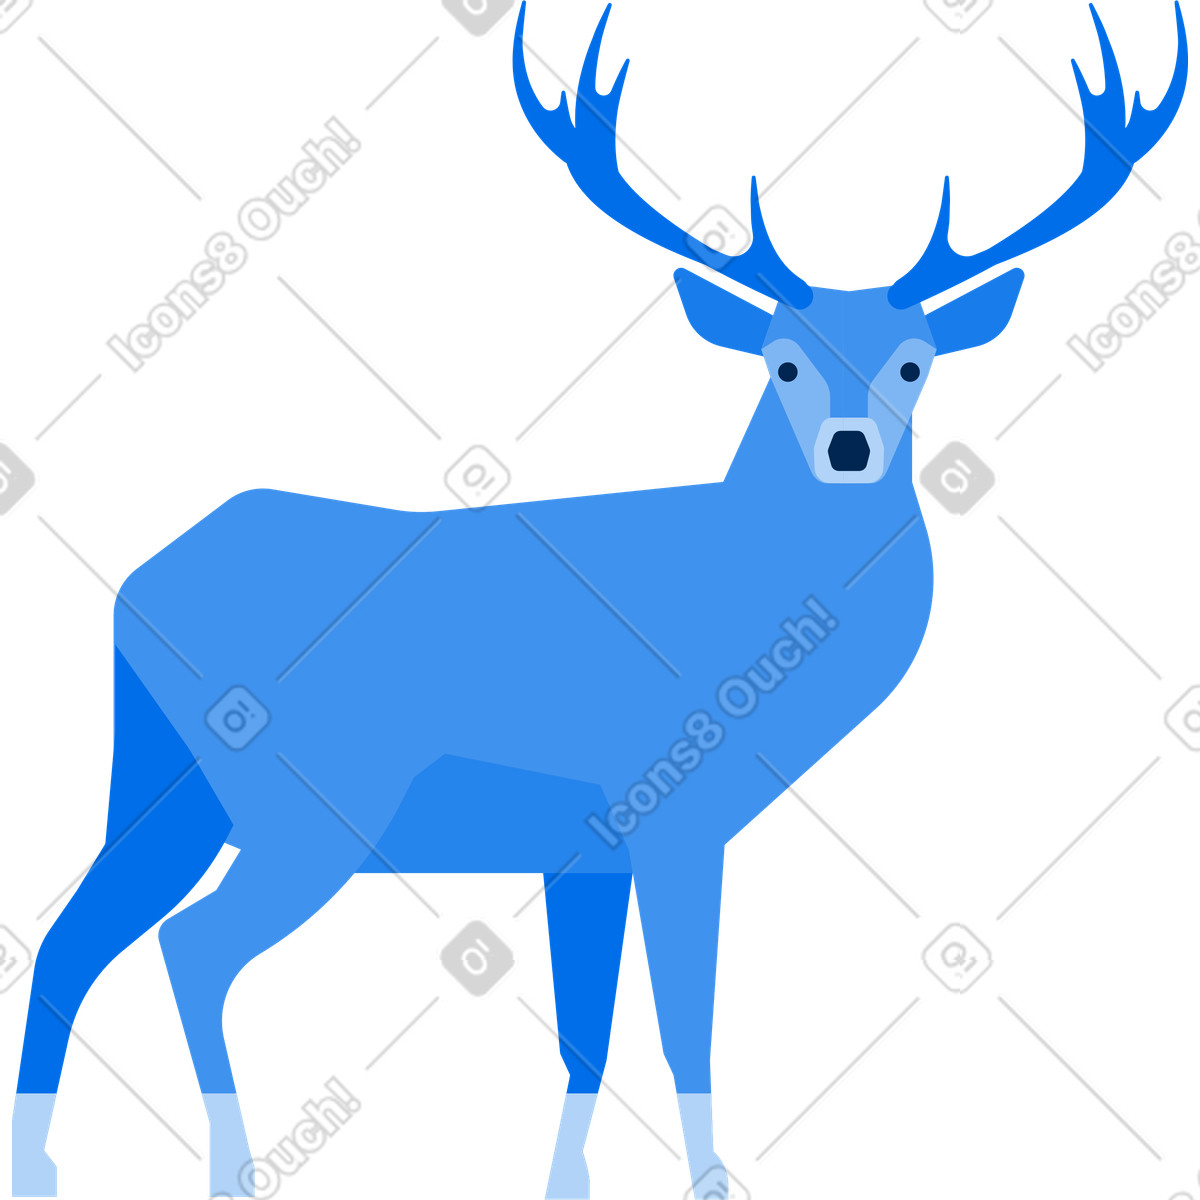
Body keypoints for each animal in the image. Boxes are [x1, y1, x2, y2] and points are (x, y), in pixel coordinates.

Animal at [11, 3, 1187, 1197]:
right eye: (782, 363)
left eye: (915, 363)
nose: (850, 449)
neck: (747, 598)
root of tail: (136, 584)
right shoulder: (675, 813)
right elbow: (682, 1022)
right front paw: (710, 1179)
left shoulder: (585, 842)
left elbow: (592, 1027)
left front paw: (564, 1181)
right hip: (313, 801)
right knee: (190, 948)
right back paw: (231, 1166)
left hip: (169, 779)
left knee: (74, 932)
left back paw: (44, 1161)